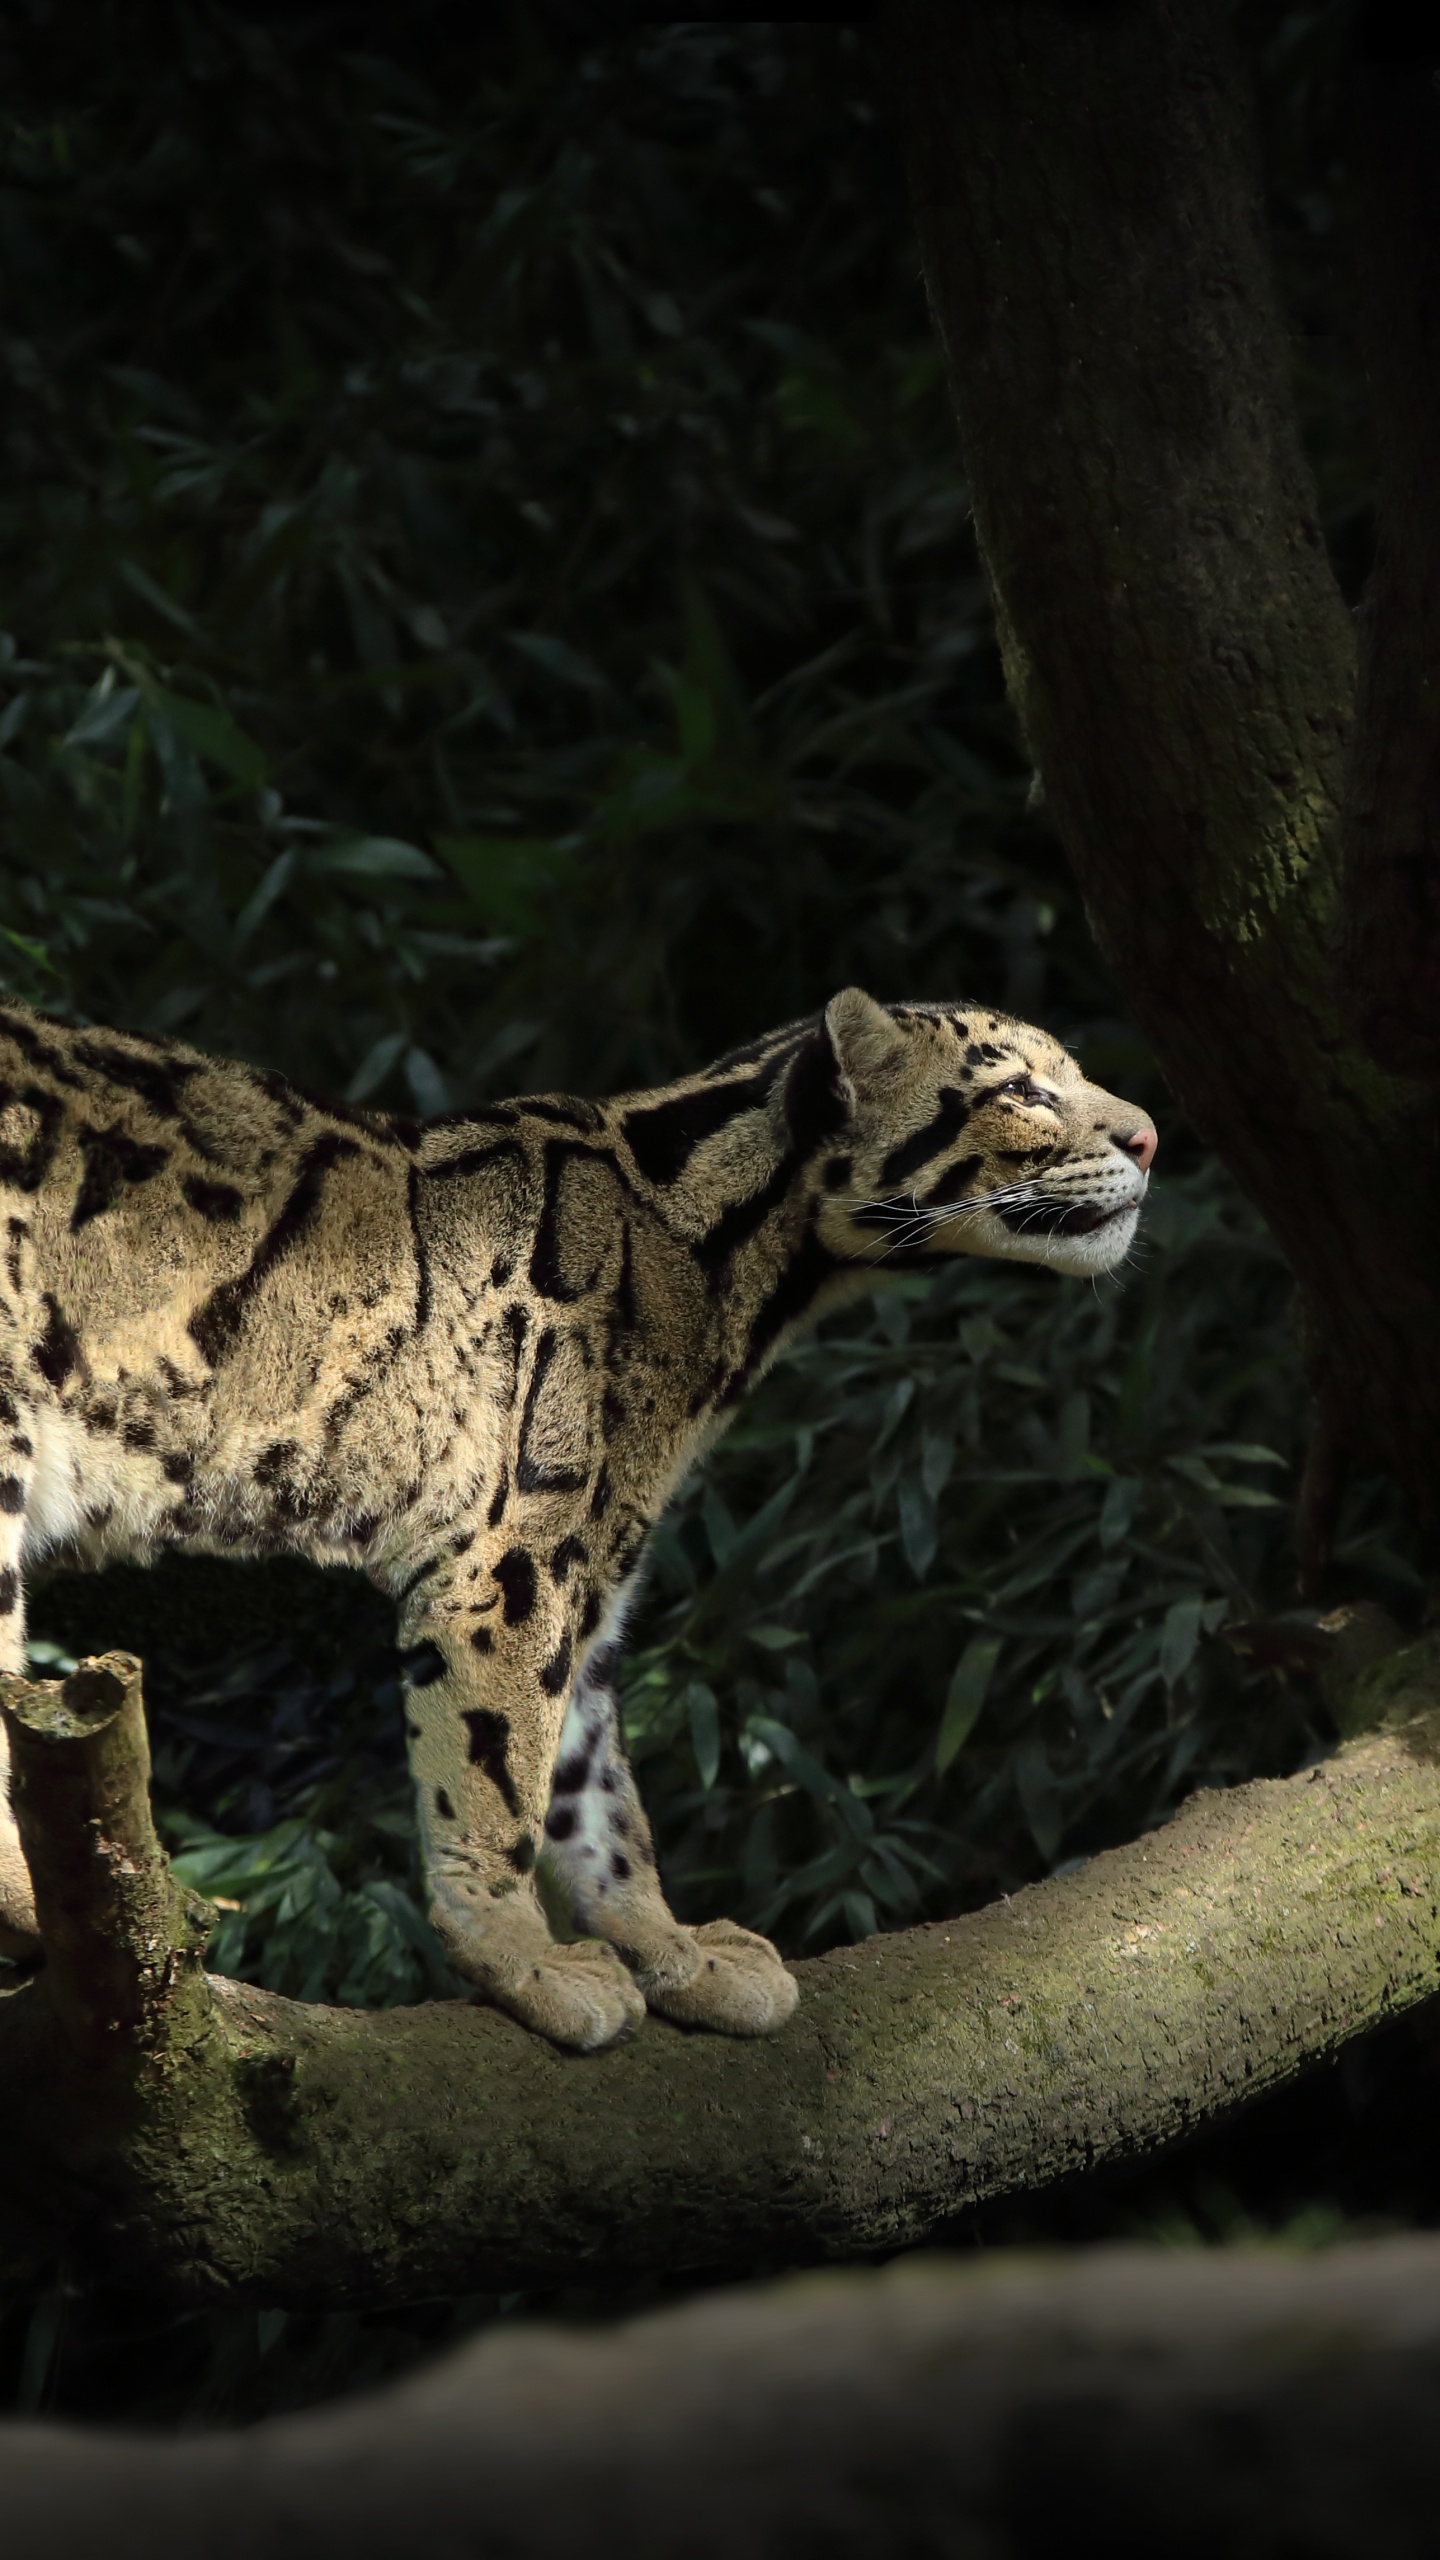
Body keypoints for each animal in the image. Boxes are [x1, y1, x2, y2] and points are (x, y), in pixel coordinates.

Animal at [0, 985, 1155, 2048]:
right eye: (1023, 1090)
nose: (1149, 1134)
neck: (736, 1269)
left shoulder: (594, 1571)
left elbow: (596, 1789)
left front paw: (669, 1946)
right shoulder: (514, 1557)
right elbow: (498, 1774)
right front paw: (522, 1955)